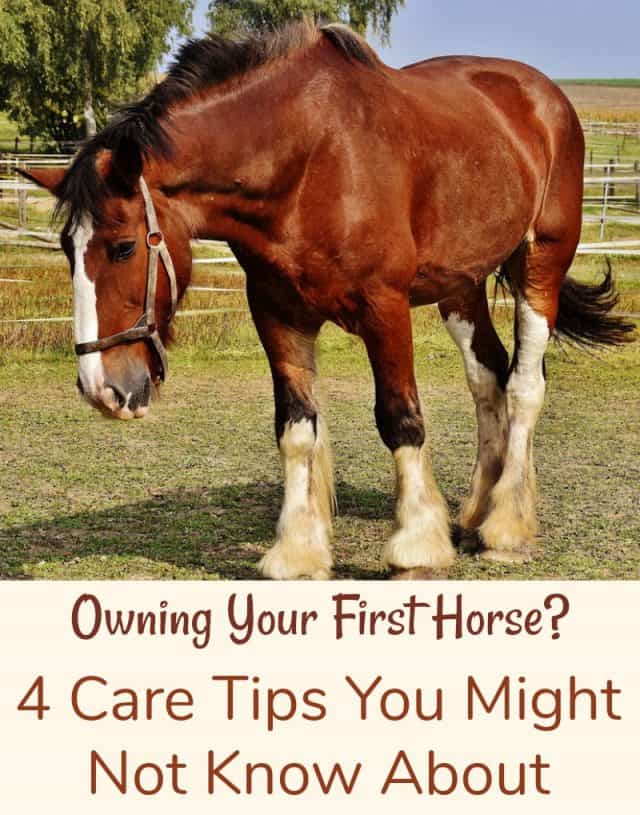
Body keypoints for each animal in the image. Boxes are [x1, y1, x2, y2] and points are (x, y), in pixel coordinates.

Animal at [21, 21, 634, 580]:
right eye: (67, 249)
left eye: (123, 247)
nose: (102, 389)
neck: (307, 162)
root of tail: (544, 97)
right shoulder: (277, 313)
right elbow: (295, 430)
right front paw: (297, 552)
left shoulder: (384, 308)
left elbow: (401, 420)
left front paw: (415, 547)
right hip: (461, 285)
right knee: (488, 377)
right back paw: (474, 516)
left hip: (540, 265)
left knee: (525, 385)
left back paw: (506, 528)